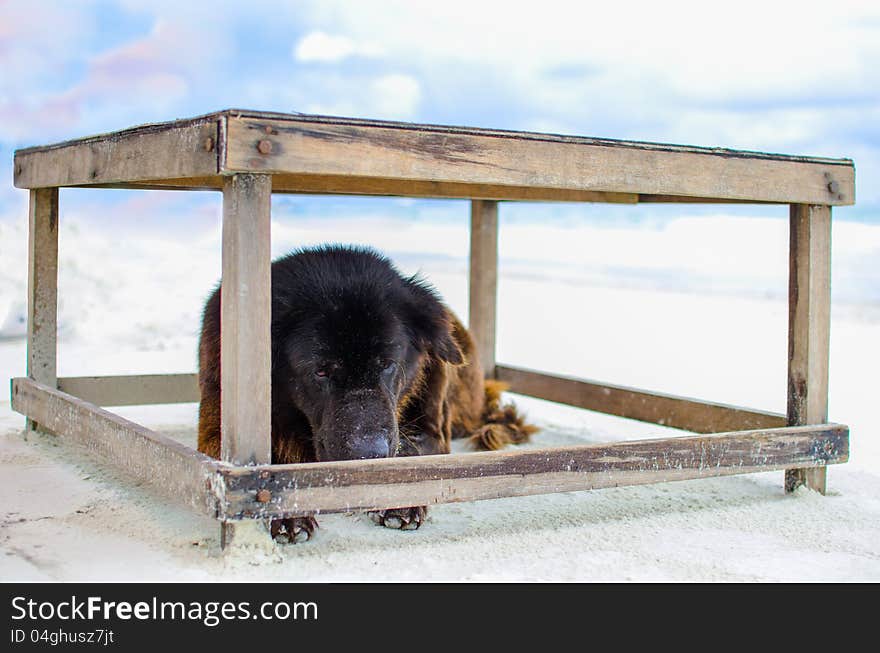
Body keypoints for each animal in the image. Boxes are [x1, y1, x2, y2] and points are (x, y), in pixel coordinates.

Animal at [195, 244, 532, 540]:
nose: (368, 454)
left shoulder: (427, 436)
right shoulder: (217, 431)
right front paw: (284, 510)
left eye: (387, 364)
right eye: (320, 371)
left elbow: (408, 451)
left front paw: (398, 498)